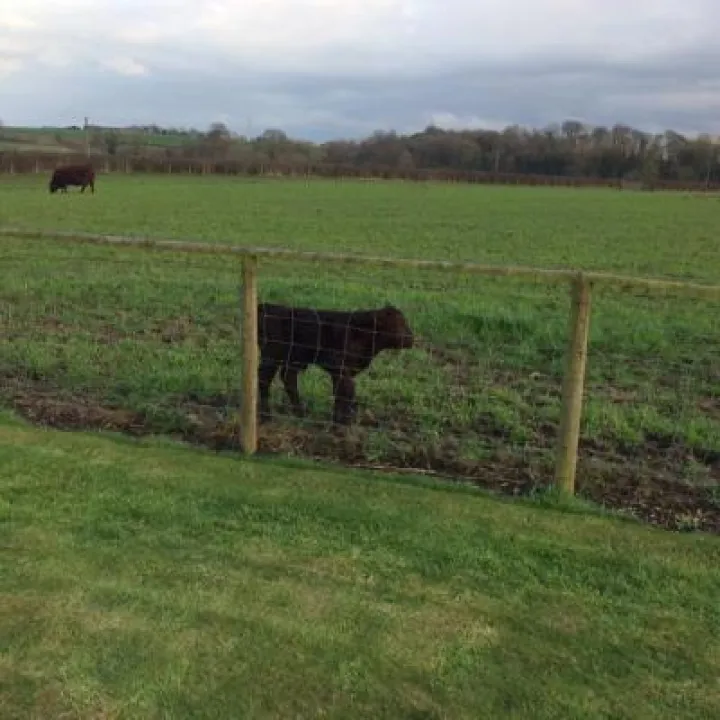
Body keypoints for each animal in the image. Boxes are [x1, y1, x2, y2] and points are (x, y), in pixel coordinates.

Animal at [257, 302, 414, 425]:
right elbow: (346, 391)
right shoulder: (339, 366)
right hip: (271, 355)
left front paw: (339, 419)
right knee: (264, 379)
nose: (411, 338)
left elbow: (341, 392)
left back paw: (300, 412)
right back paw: (266, 416)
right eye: (397, 324)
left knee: (288, 377)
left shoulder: (343, 371)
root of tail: (267, 307)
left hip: (294, 358)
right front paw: (343, 422)